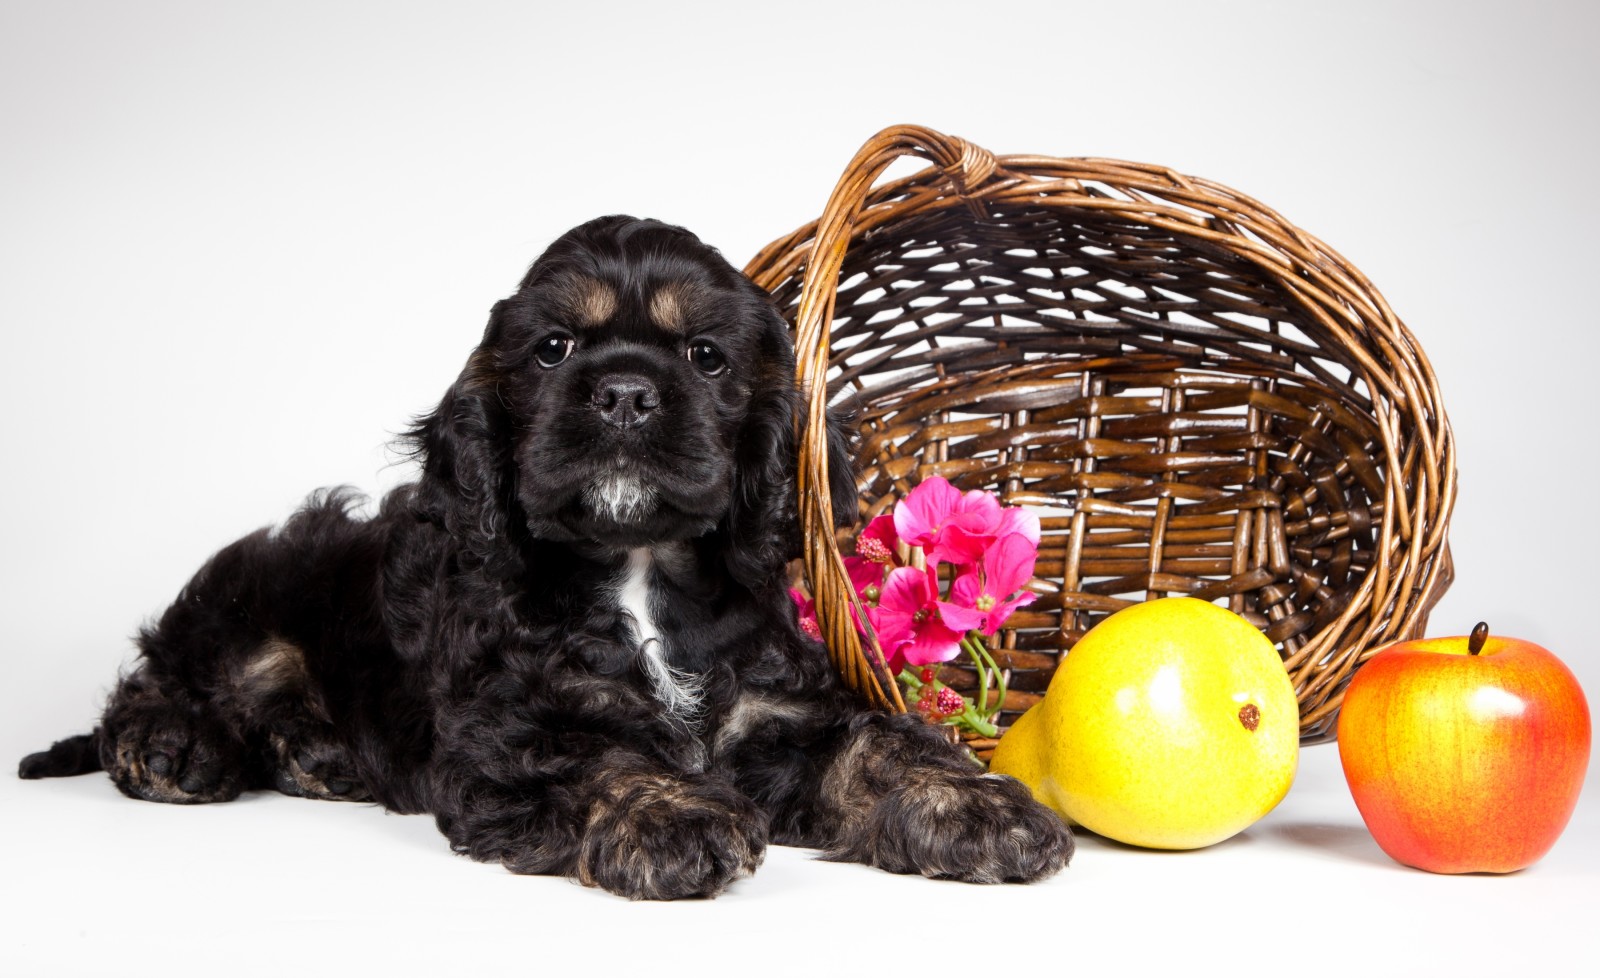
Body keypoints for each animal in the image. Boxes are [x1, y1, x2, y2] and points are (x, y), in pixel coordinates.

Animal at [15, 216, 1075, 902]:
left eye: (706, 357)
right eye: (554, 348)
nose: (624, 394)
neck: (638, 571)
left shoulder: (779, 713)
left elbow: (880, 743)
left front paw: (979, 806)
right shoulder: (511, 736)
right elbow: (599, 758)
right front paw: (673, 818)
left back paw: (312, 752)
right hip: (247, 597)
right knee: (158, 680)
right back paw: (174, 745)